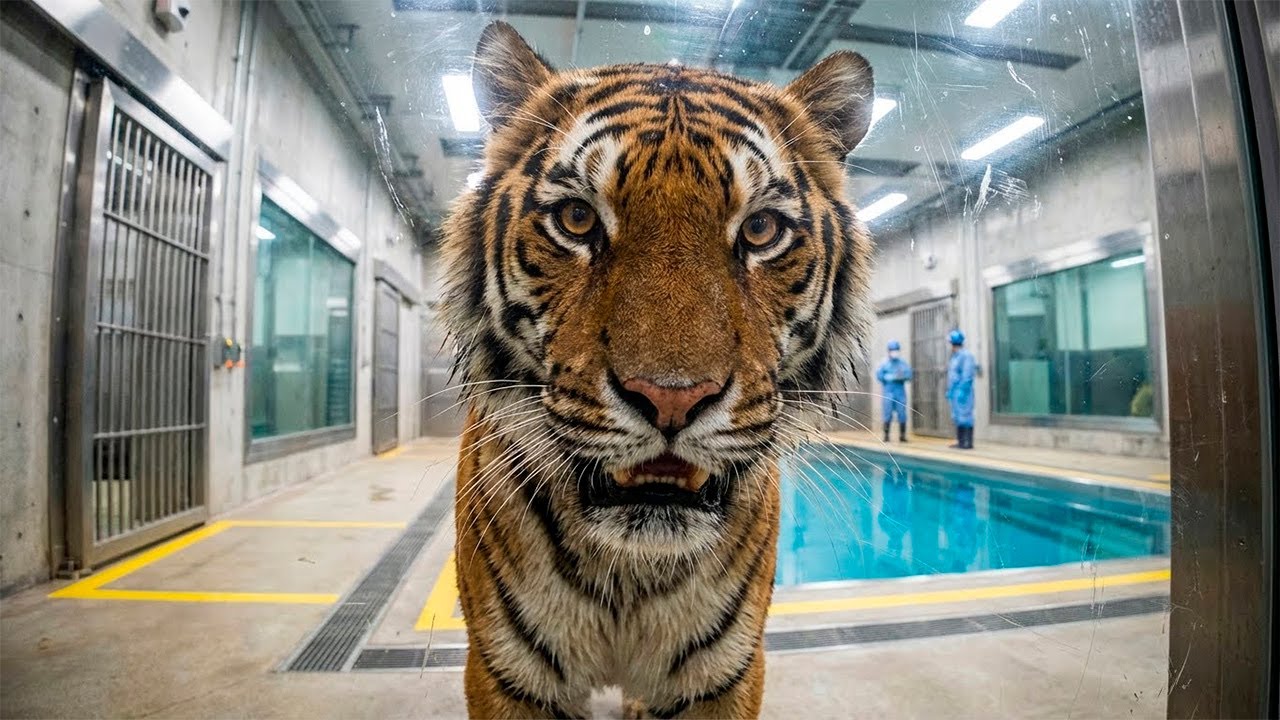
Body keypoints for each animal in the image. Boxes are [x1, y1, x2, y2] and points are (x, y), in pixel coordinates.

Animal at [438, 20, 875, 719]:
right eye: (578, 219)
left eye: (761, 229)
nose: (672, 399)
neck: (631, 574)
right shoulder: (506, 673)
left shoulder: (726, 673)